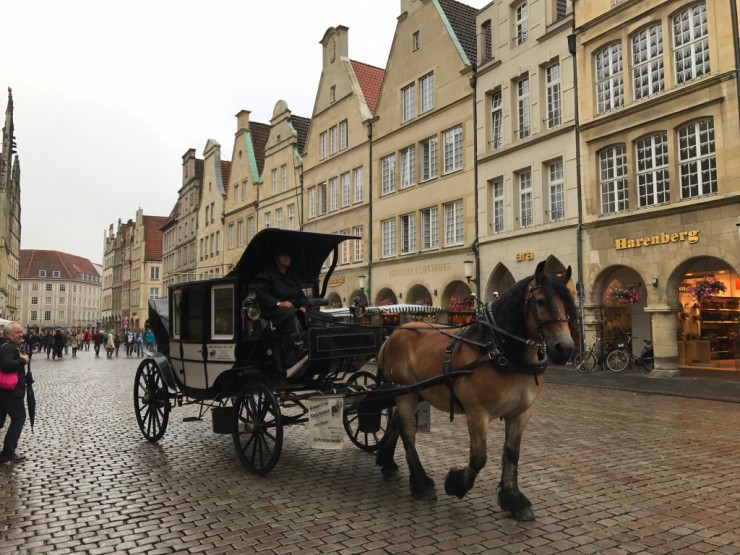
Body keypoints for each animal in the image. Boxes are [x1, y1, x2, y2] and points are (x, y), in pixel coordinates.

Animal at [376, 260, 580, 520]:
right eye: (541, 301)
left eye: (568, 302)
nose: (565, 347)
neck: (498, 350)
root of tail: (393, 333)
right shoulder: (477, 413)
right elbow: (479, 457)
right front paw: (455, 484)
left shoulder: (521, 413)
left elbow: (512, 453)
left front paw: (514, 500)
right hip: (405, 392)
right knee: (408, 434)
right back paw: (421, 483)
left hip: (415, 391)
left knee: (396, 425)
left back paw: (388, 463)